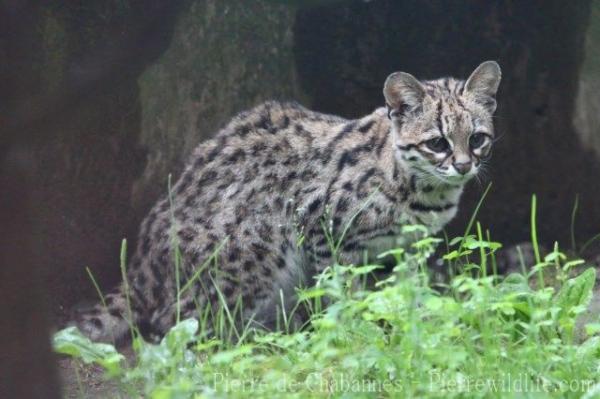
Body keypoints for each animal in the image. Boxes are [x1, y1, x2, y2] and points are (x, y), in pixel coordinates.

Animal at [77, 61, 504, 342]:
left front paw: (415, 325)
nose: (464, 165)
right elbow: (341, 294)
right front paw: (356, 334)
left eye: (477, 138)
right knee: (174, 325)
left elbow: (406, 292)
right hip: (257, 251)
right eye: (438, 143)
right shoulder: (322, 230)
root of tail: (140, 265)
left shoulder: (409, 247)